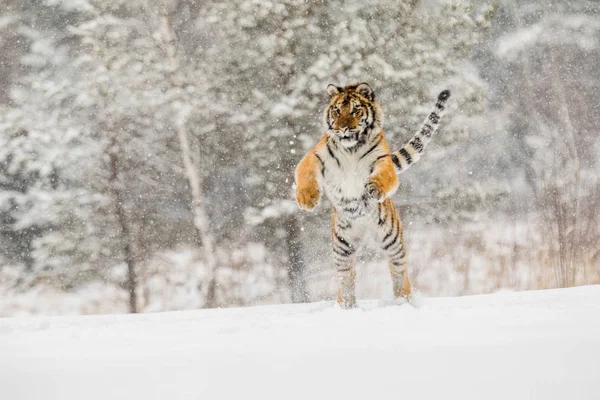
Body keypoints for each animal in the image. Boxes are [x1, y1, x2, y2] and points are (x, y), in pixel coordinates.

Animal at [296, 80, 450, 306]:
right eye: (337, 110)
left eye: (355, 110)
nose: (343, 127)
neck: (350, 148)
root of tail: (364, 230)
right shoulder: (317, 155)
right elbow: (304, 171)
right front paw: (306, 199)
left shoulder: (382, 161)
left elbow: (383, 176)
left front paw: (373, 189)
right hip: (342, 248)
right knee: (346, 280)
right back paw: (346, 307)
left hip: (392, 240)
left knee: (399, 273)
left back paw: (403, 302)